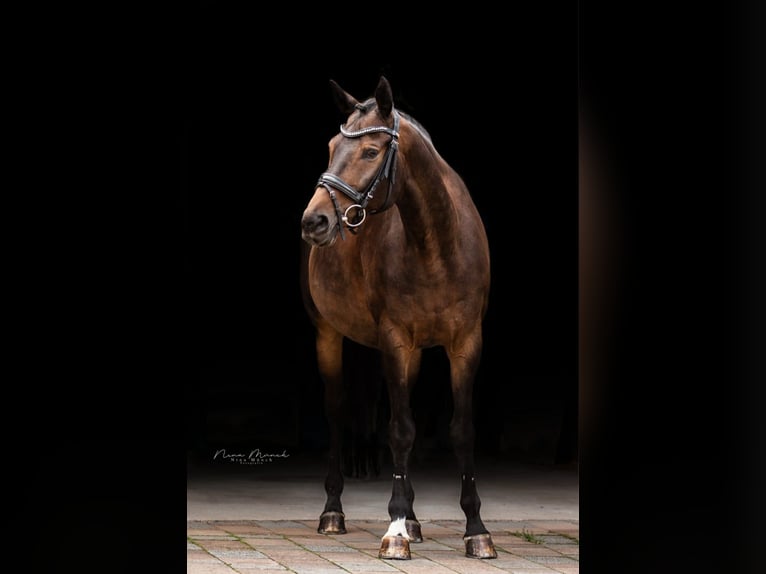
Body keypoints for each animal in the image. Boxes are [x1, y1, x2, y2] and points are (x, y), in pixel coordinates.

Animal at [300, 76, 498, 564]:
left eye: (371, 151)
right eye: (331, 146)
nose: (314, 221)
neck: (437, 244)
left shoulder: (466, 342)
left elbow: (461, 430)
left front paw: (476, 530)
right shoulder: (394, 339)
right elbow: (401, 431)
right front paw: (394, 531)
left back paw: (414, 519)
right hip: (327, 334)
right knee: (338, 413)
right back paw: (334, 513)